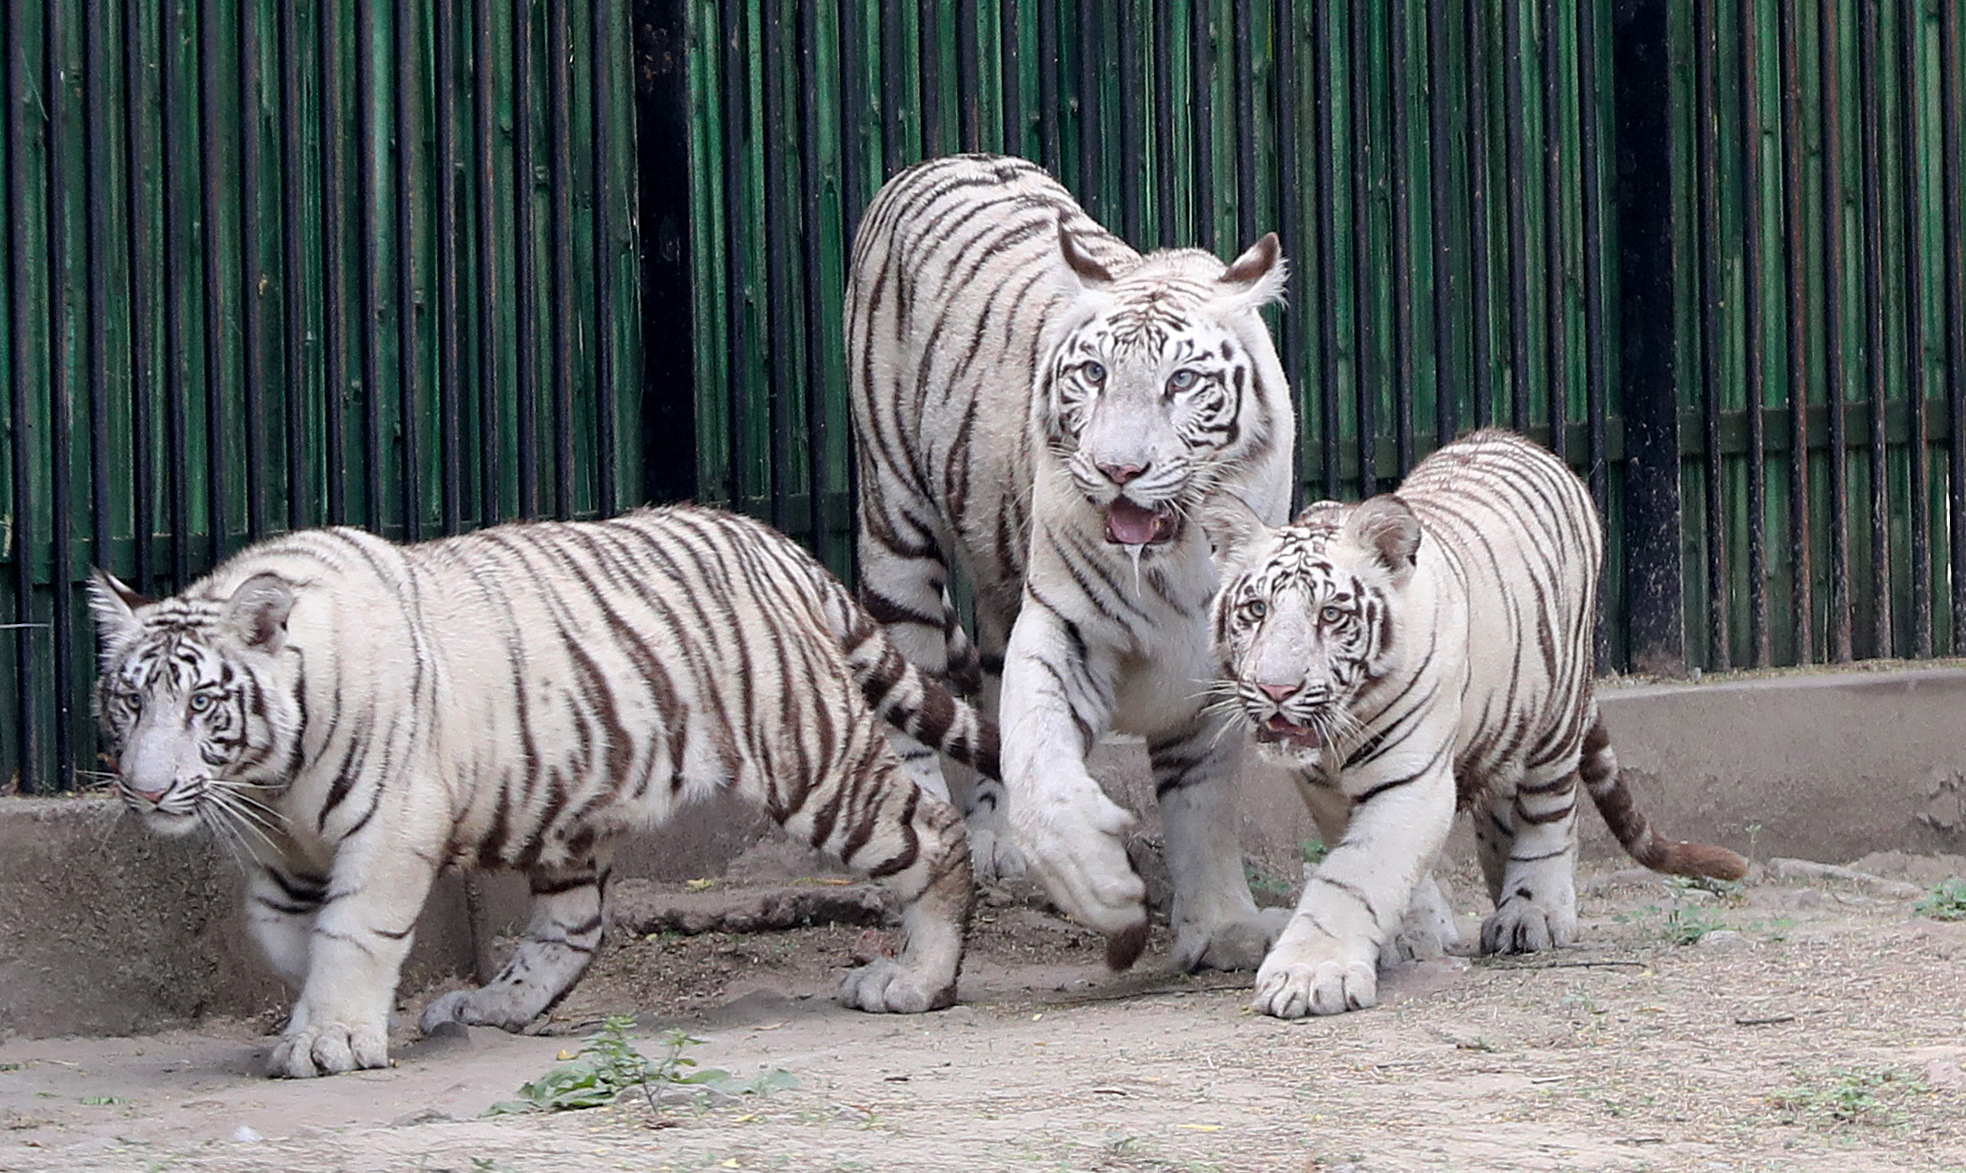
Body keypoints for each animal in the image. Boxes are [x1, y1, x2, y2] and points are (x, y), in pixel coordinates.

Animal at [84, 506, 990, 1076]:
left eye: (202, 704)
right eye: (130, 700)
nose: (147, 791)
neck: (271, 780)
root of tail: (774, 544)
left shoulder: (391, 824)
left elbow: (356, 931)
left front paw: (331, 1040)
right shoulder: (283, 852)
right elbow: (289, 937)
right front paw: (318, 1014)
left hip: (811, 754)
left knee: (934, 832)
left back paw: (919, 980)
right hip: (566, 803)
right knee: (574, 926)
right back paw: (491, 1006)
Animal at [853, 151, 1297, 966]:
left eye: (1181, 381)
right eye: (1092, 374)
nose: (1119, 468)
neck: (1176, 552)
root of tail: (943, 158)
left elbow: (1205, 799)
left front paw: (1223, 924)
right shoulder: (1065, 626)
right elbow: (1044, 769)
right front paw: (1104, 889)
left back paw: (993, 837)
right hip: (893, 520)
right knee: (915, 696)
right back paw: (938, 832)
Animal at [1195, 430, 1753, 1013]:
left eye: (1331, 615)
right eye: (1256, 610)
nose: (1276, 690)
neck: (1336, 743)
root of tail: (1511, 438)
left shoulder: (1412, 780)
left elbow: (1352, 876)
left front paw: (1309, 974)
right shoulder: (1323, 790)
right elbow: (1384, 867)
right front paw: (1412, 935)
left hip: (1557, 715)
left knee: (1550, 814)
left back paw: (1533, 911)